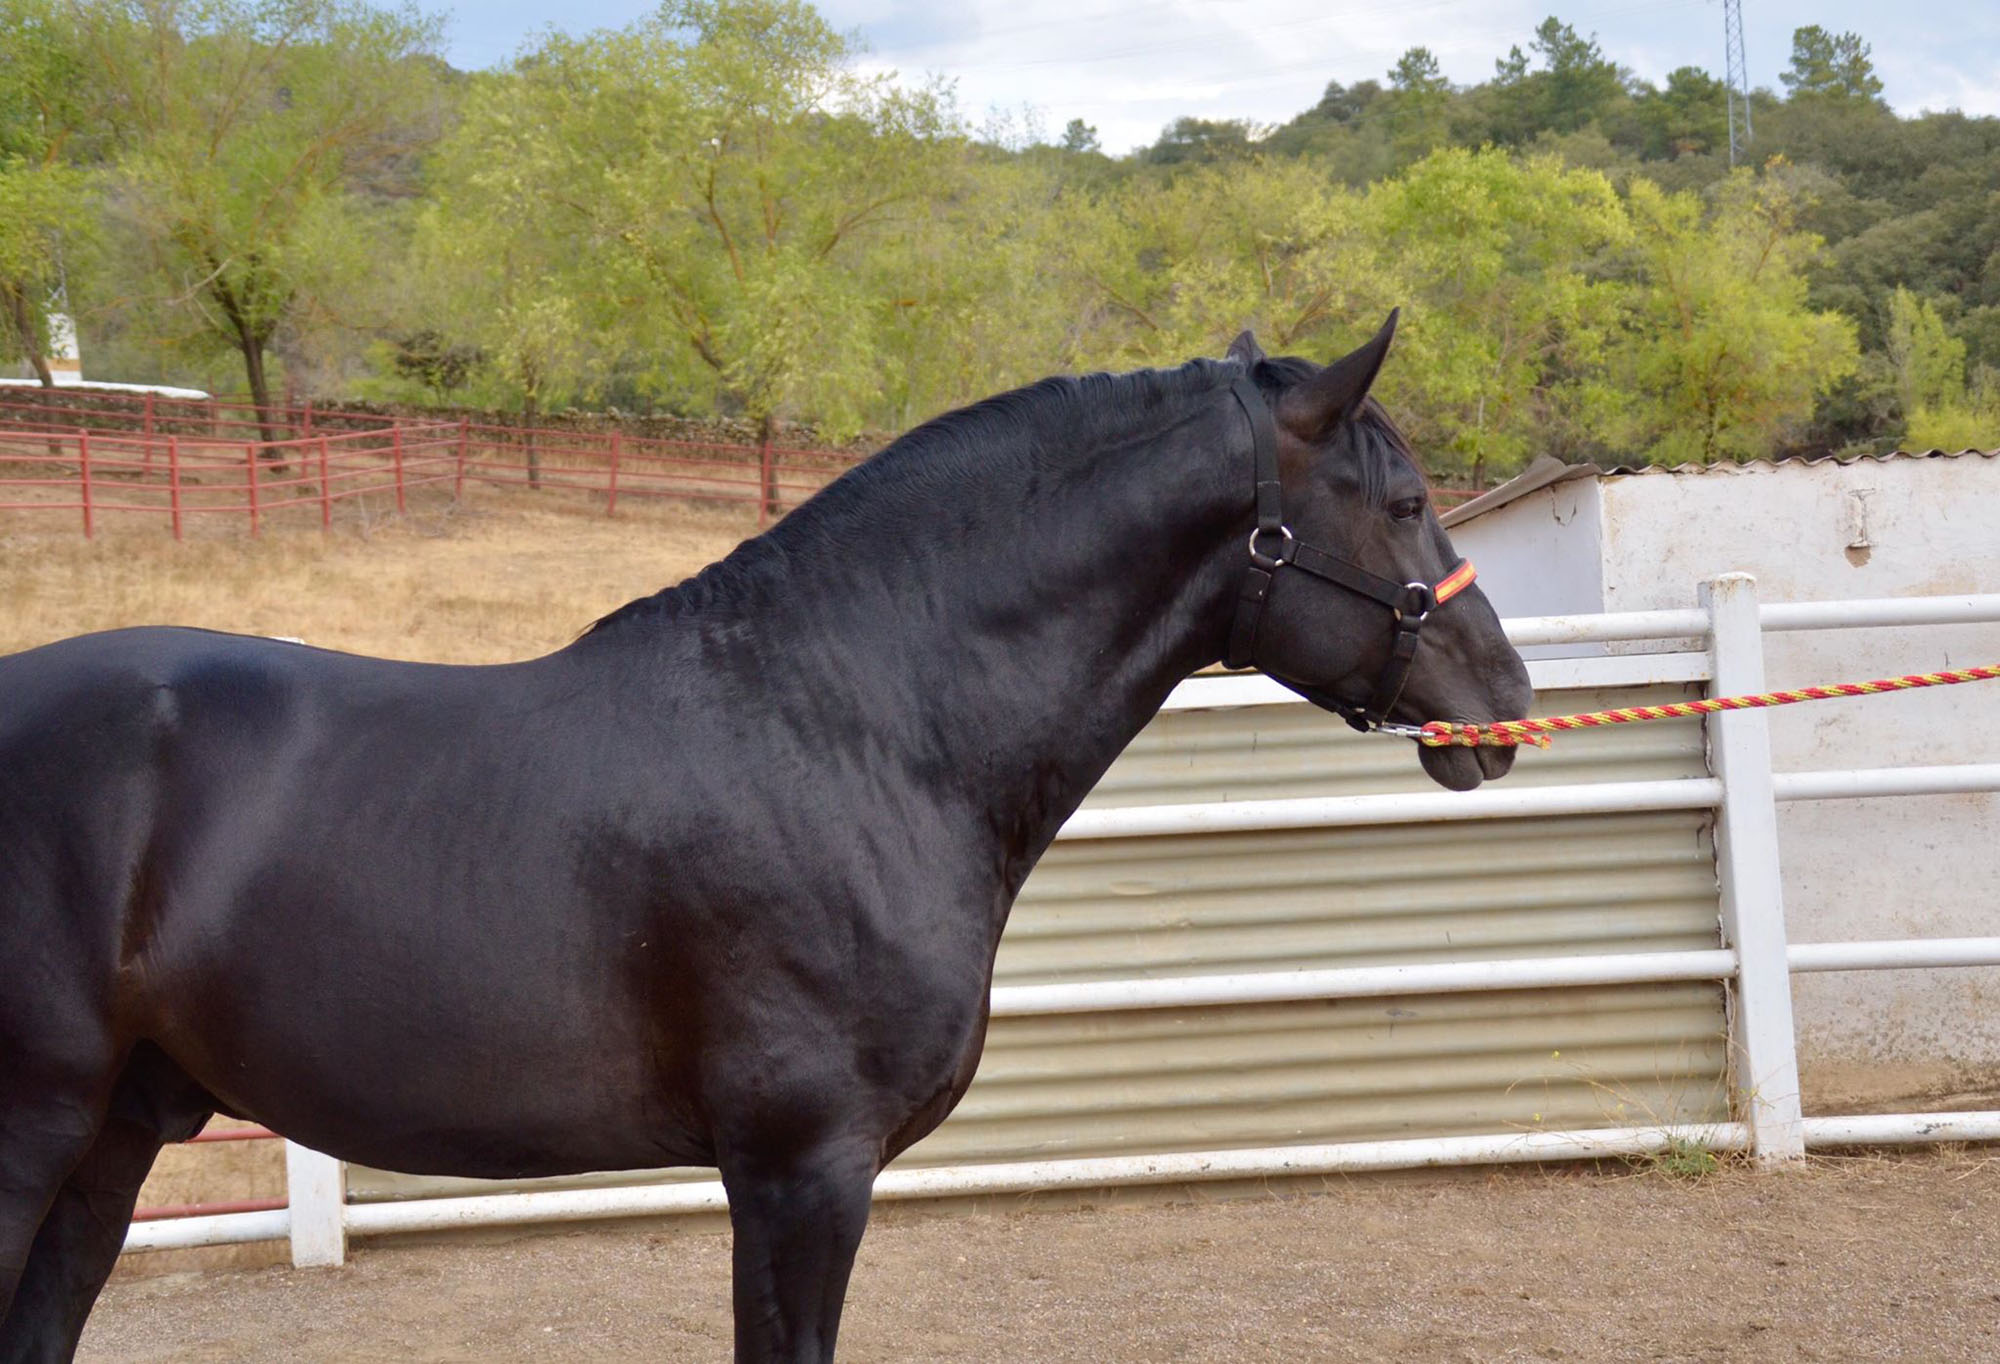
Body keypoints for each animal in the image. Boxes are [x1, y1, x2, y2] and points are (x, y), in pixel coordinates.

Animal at [3, 314, 1528, 1352]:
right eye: (1404, 503)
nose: (1505, 705)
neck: (860, 731)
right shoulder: (804, 1171)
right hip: (37, 1127)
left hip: (114, 1139)